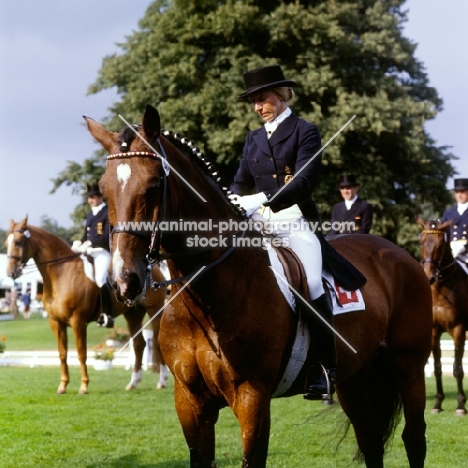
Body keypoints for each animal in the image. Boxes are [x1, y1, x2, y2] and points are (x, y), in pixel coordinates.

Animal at [5, 218, 168, 394]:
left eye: (19, 242)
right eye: (7, 243)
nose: (10, 272)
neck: (61, 274)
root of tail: (153, 269)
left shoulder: (78, 321)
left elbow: (81, 353)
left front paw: (83, 386)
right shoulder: (56, 322)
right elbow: (62, 353)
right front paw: (62, 386)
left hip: (155, 311)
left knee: (158, 342)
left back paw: (162, 381)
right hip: (133, 314)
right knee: (139, 344)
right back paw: (133, 382)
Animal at [85, 106, 432, 468]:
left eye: (153, 185)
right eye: (104, 189)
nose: (124, 280)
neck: (207, 299)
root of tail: (398, 253)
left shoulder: (251, 397)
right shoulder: (190, 401)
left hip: (408, 366)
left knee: (413, 438)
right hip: (354, 377)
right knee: (371, 440)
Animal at [416, 218, 468, 414]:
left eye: (440, 245)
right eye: (421, 242)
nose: (429, 277)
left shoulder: (458, 329)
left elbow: (458, 369)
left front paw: (461, 405)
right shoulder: (433, 332)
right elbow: (437, 368)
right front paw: (438, 403)